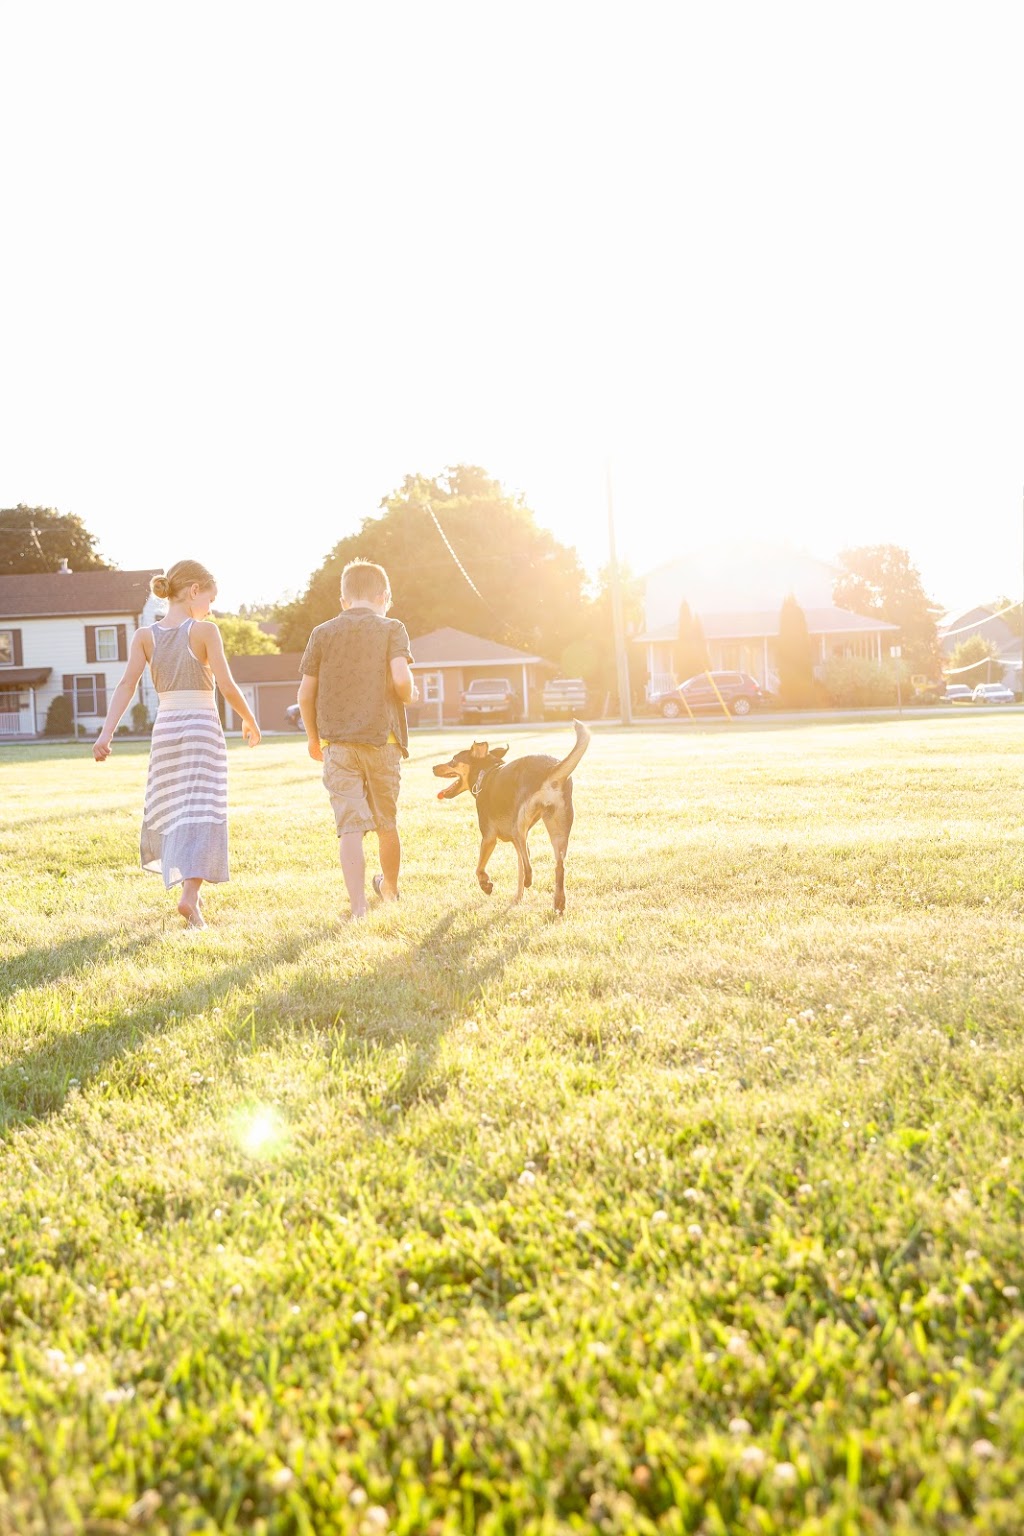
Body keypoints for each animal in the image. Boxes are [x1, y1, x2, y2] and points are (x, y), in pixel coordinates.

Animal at [432, 718, 592, 909]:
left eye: (453, 760)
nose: (433, 767)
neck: (485, 774)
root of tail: (552, 769)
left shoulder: (488, 837)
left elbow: (479, 868)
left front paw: (486, 884)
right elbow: (519, 869)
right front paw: (518, 898)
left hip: (521, 819)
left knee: (526, 854)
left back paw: (530, 879)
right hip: (559, 827)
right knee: (558, 865)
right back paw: (558, 901)